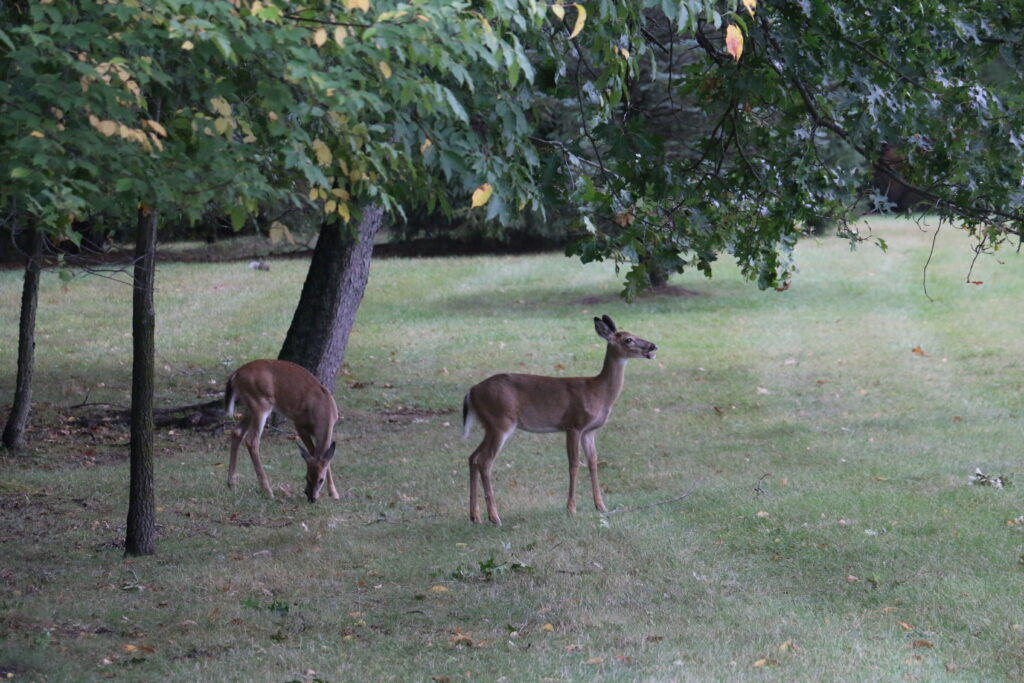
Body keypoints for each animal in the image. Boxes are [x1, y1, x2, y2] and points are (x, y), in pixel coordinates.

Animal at [224, 360, 339, 505]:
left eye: (320, 480)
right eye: (306, 477)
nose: (311, 498)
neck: (323, 412)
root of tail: (236, 374)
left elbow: (325, 458)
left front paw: (334, 493)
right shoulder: (299, 424)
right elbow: (313, 451)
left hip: (250, 408)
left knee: (237, 432)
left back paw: (231, 483)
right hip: (260, 404)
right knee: (251, 440)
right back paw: (268, 491)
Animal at [462, 315, 655, 524]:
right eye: (628, 339)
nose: (653, 346)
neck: (599, 392)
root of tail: (471, 391)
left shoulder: (590, 431)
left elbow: (593, 462)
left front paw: (601, 506)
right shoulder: (574, 425)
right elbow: (574, 464)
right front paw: (571, 508)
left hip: (489, 425)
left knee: (473, 457)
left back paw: (475, 516)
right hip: (501, 422)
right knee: (485, 462)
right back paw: (495, 517)